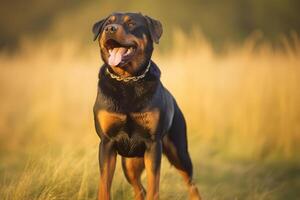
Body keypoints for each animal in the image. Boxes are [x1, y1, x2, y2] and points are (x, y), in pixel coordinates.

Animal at [92, 12, 200, 200]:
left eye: (131, 23)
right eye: (107, 24)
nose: (110, 29)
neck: (127, 80)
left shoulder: (153, 144)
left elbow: (153, 185)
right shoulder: (107, 143)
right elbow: (104, 185)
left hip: (179, 152)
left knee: (191, 183)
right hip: (129, 163)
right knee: (139, 189)